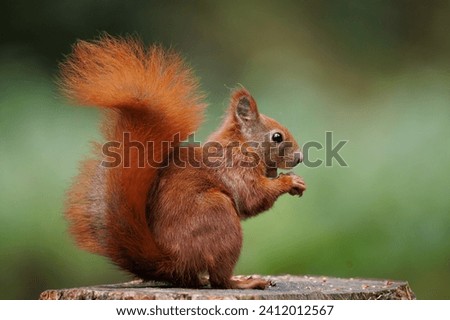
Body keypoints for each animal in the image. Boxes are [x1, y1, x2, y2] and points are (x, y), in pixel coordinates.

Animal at [60, 35, 306, 290]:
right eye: (277, 137)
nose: (299, 157)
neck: (242, 144)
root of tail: (172, 262)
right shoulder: (235, 167)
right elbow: (253, 196)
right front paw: (290, 182)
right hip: (220, 216)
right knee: (220, 280)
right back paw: (243, 282)